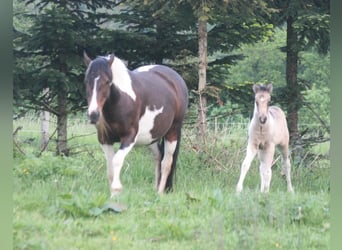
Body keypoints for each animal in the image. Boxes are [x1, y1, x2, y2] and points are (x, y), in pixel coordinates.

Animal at [84, 52, 188, 197]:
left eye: (107, 82)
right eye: (86, 81)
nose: (93, 115)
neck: (122, 101)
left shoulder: (129, 138)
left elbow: (117, 160)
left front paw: (116, 191)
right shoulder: (104, 140)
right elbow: (110, 169)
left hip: (173, 131)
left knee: (166, 162)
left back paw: (160, 193)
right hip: (151, 136)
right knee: (158, 156)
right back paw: (155, 189)